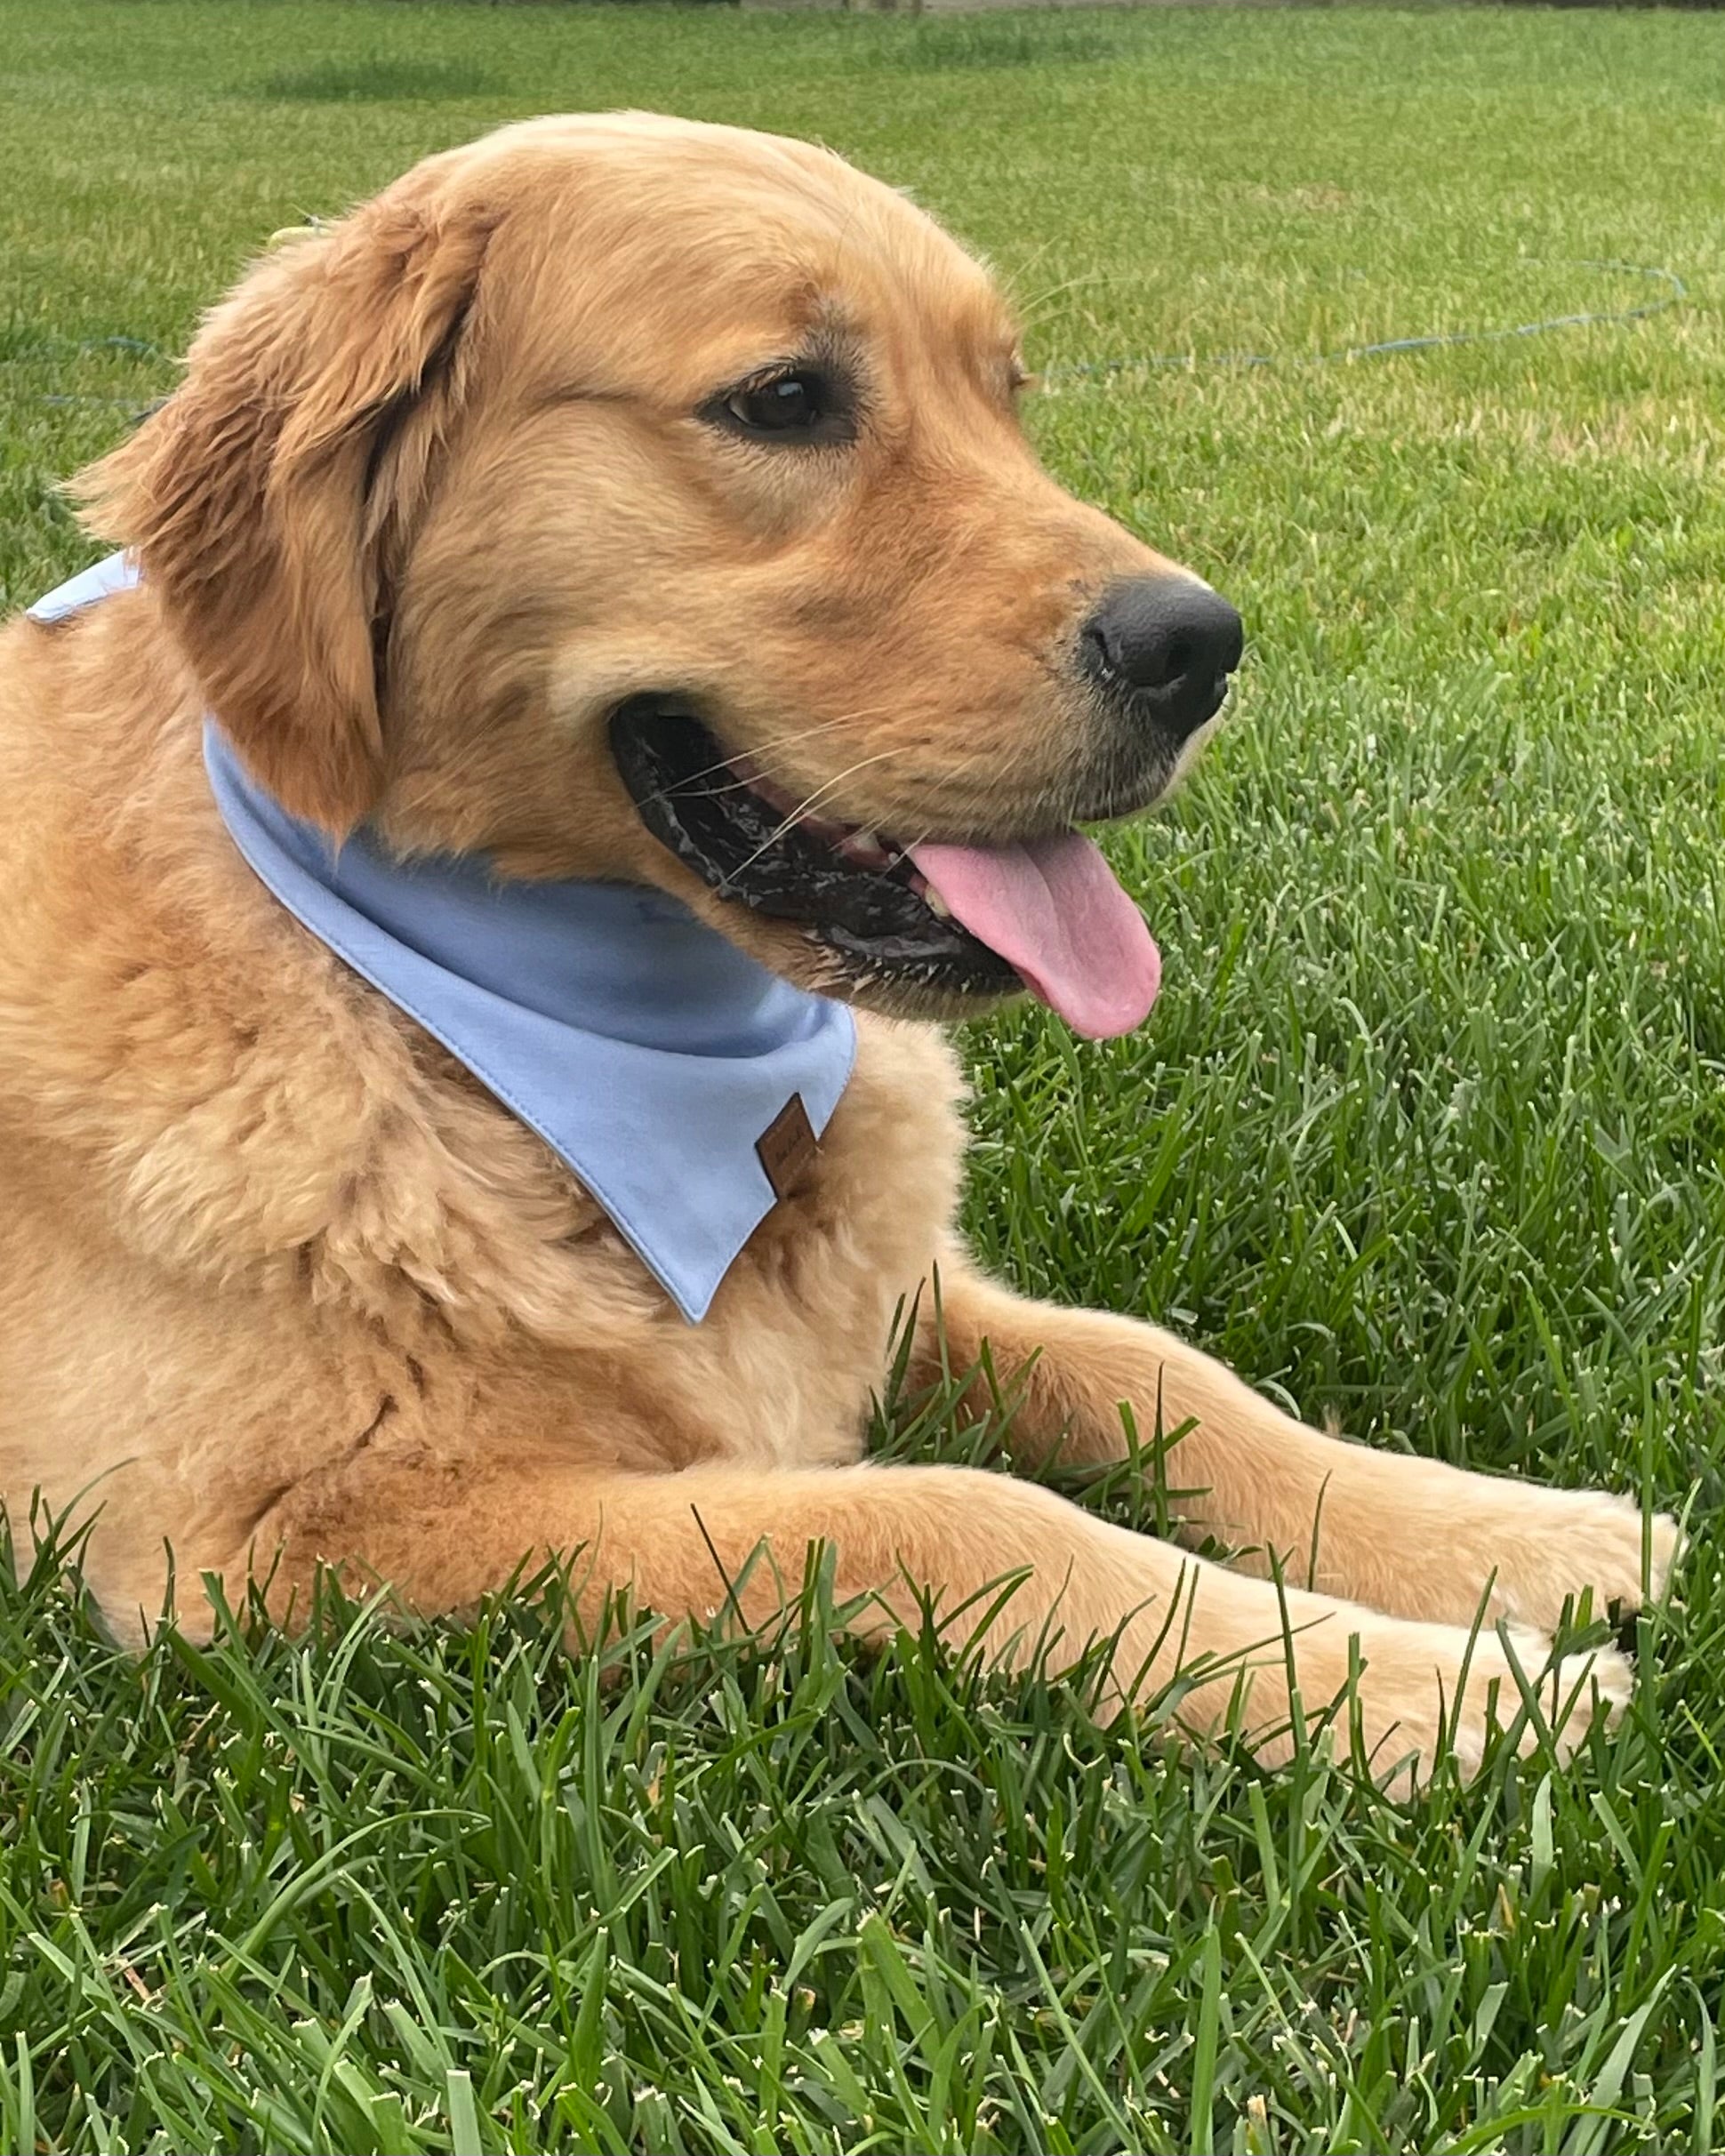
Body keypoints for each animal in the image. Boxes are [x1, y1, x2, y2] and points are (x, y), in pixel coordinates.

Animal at [0, 113, 1673, 1784]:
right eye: (787, 400)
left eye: (1009, 392)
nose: (1200, 648)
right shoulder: (289, 1547)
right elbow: (950, 1513)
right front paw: (1433, 1691)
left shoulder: (903, 1292)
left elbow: (1155, 1366)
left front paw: (1516, 1539)